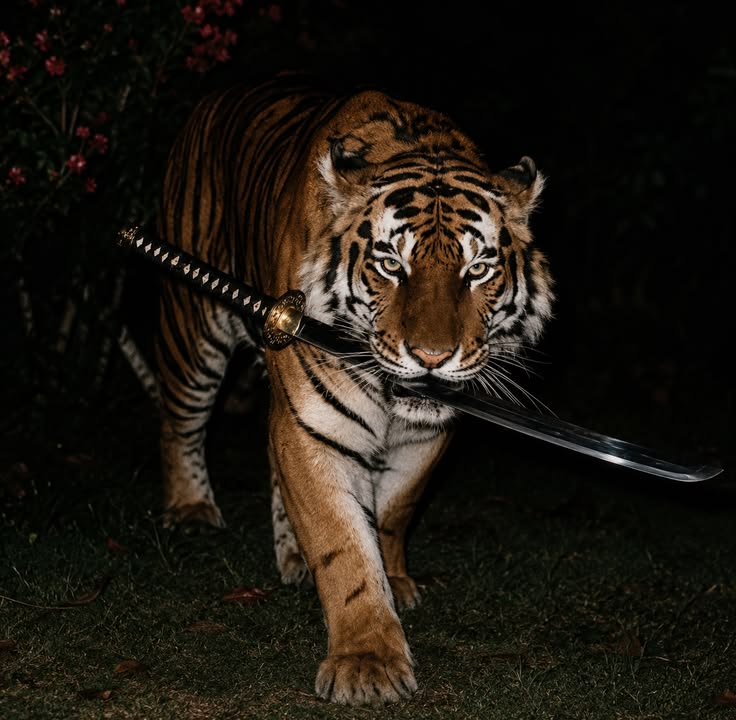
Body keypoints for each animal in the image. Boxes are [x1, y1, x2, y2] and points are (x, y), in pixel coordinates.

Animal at [155, 73, 553, 705]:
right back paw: (192, 509)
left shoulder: (426, 436)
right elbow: (342, 542)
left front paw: (394, 579)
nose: (433, 357)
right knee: (179, 422)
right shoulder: (314, 424)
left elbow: (391, 511)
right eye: (391, 264)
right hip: (192, 328)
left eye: (478, 269)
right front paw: (368, 663)